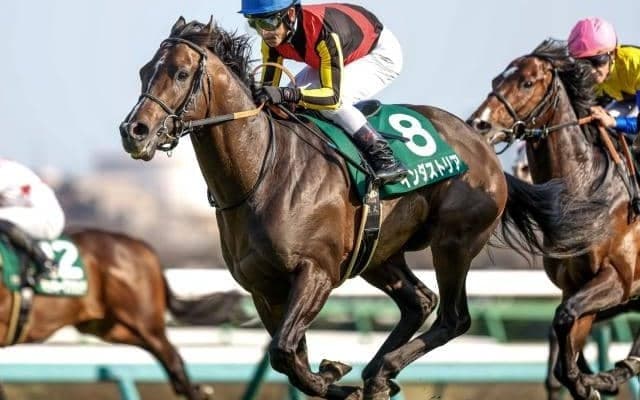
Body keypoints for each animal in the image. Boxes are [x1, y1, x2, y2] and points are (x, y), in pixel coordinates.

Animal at [0, 227, 234, 400]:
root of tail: (143, 247)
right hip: (111, 328)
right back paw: (197, 389)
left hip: (147, 323)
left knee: (173, 360)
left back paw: (196, 391)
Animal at [119, 19, 608, 400]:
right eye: (143, 72)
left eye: (181, 73)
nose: (134, 131)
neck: (262, 172)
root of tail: (482, 145)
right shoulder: (263, 289)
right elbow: (287, 357)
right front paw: (336, 377)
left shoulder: (316, 273)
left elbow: (284, 351)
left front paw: (335, 375)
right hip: (379, 254)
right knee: (420, 301)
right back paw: (377, 373)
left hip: (453, 242)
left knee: (453, 316)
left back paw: (382, 370)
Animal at [468, 39, 640, 400]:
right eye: (496, 79)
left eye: (527, 83)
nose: (480, 124)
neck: (588, 190)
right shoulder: (576, 286)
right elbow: (563, 332)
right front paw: (585, 381)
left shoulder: (619, 280)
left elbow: (564, 317)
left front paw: (589, 382)